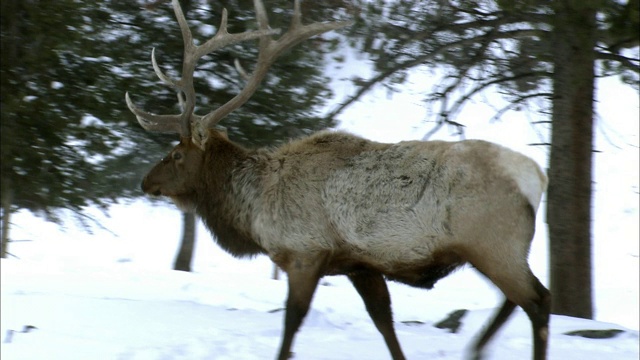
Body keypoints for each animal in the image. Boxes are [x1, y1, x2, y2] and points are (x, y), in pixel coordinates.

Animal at [126, 0, 552, 360]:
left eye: (176, 154)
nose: (146, 181)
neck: (253, 211)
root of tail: (538, 177)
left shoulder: (304, 252)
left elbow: (292, 321)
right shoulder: (360, 265)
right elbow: (384, 322)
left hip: (492, 243)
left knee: (538, 301)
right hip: (496, 249)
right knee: (518, 301)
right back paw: (476, 347)